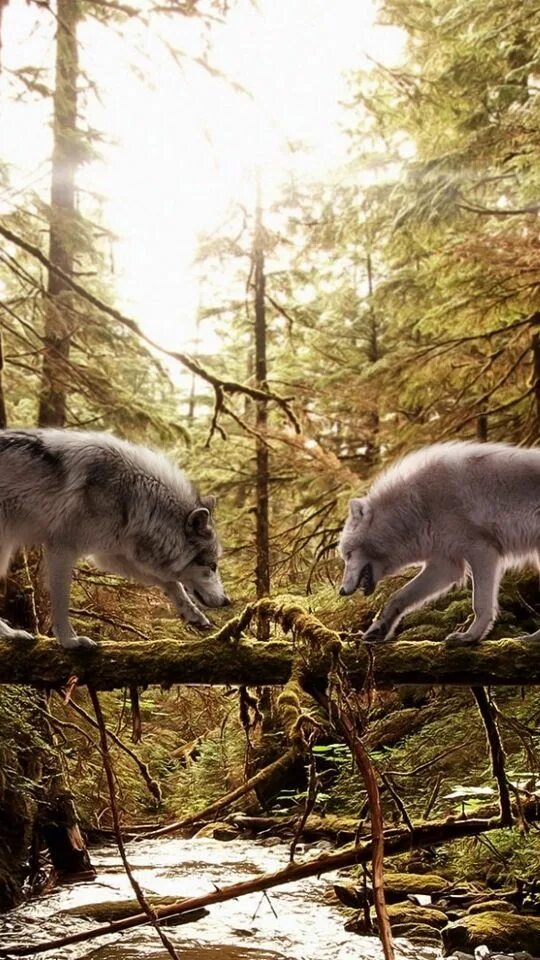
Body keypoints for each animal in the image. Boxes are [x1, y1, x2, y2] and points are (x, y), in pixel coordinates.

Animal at [0, 430, 230, 648]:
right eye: (213, 565)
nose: (227, 601)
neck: (133, 496)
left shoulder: (109, 556)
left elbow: (171, 583)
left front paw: (194, 615)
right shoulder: (62, 549)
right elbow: (61, 603)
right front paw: (70, 641)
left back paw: (12, 633)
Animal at [338, 442, 540, 644]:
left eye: (348, 554)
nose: (341, 591)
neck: (416, 508)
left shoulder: (482, 551)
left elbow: (480, 604)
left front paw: (470, 637)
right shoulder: (445, 565)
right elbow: (397, 597)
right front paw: (379, 628)